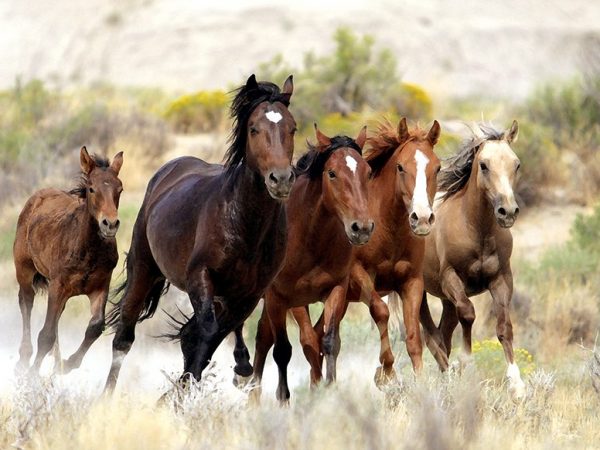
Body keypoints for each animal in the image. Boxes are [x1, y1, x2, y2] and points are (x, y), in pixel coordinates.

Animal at [14, 147, 124, 372]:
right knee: (26, 301)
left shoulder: (100, 286)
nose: (110, 224)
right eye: (91, 189)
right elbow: (46, 334)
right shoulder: (58, 286)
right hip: (24, 269)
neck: (87, 250)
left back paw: (56, 363)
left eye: (120, 189)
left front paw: (67, 365)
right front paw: (32, 375)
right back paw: (24, 359)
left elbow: (95, 327)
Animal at [105, 74, 298, 390]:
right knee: (124, 336)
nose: (280, 179)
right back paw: (106, 395)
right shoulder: (201, 276)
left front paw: (186, 388)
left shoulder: (249, 294)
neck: (245, 225)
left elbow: (207, 339)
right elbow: (206, 332)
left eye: (292, 128)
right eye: (254, 129)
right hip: (144, 268)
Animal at [243, 125, 370, 402]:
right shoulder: (285, 298)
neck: (310, 237)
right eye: (332, 173)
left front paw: (327, 391)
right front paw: (286, 399)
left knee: (264, 336)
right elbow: (295, 345)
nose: (362, 228)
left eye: (368, 171)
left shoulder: (337, 290)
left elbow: (328, 342)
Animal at [290, 119, 440, 386]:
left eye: (438, 168)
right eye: (401, 167)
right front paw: (387, 372)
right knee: (308, 338)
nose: (422, 219)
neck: (388, 228)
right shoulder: (359, 276)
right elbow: (380, 311)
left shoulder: (411, 281)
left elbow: (414, 337)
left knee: (318, 336)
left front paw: (421, 384)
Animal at [418, 121, 524, 400]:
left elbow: (504, 326)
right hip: (416, 291)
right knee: (430, 338)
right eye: (484, 165)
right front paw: (465, 363)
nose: (507, 212)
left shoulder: (501, 279)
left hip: (445, 301)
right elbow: (468, 313)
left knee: (442, 335)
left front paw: (517, 384)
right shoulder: (451, 278)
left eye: (516, 164)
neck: (477, 230)